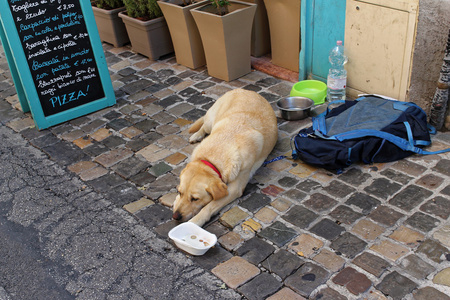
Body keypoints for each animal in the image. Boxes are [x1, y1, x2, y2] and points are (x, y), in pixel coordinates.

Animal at [172, 88, 278, 226]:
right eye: (180, 192)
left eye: (195, 199)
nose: (175, 216)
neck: (213, 157)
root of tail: (245, 90)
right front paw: (175, 202)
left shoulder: (234, 189)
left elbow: (209, 207)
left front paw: (195, 221)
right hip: (210, 122)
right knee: (203, 126)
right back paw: (196, 135)